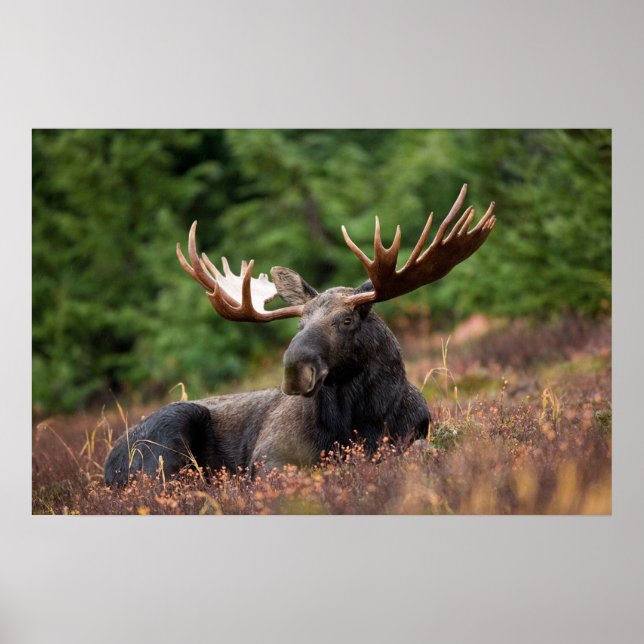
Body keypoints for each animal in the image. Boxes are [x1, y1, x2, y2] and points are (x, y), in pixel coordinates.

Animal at [104, 184, 496, 487]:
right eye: (300, 324)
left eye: (346, 320)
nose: (295, 370)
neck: (362, 419)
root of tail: (107, 465)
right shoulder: (269, 456)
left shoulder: (414, 435)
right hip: (167, 437)